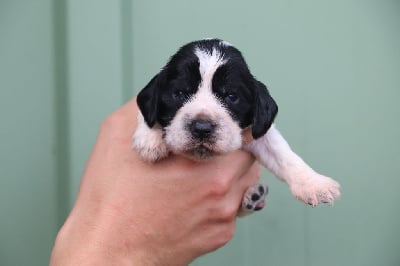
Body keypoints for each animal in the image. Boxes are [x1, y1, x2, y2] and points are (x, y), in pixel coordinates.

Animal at [133, 39, 340, 214]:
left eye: (231, 97)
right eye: (180, 93)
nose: (202, 127)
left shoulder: (258, 133)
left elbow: (283, 154)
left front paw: (314, 184)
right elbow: (144, 114)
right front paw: (150, 138)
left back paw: (254, 196)